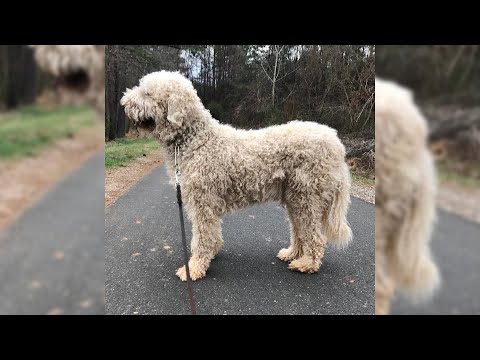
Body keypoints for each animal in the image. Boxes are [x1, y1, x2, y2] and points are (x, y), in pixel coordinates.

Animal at [120, 71, 352, 282]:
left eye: (147, 93)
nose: (123, 103)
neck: (196, 140)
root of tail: (337, 144)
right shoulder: (207, 203)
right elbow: (212, 234)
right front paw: (211, 254)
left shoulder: (202, 201)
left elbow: (201, 237)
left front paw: (193, 268)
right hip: (296, 198)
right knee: (299, 230)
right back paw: (292, 254)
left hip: (308, 197)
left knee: (316, 238)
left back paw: (307, 264)